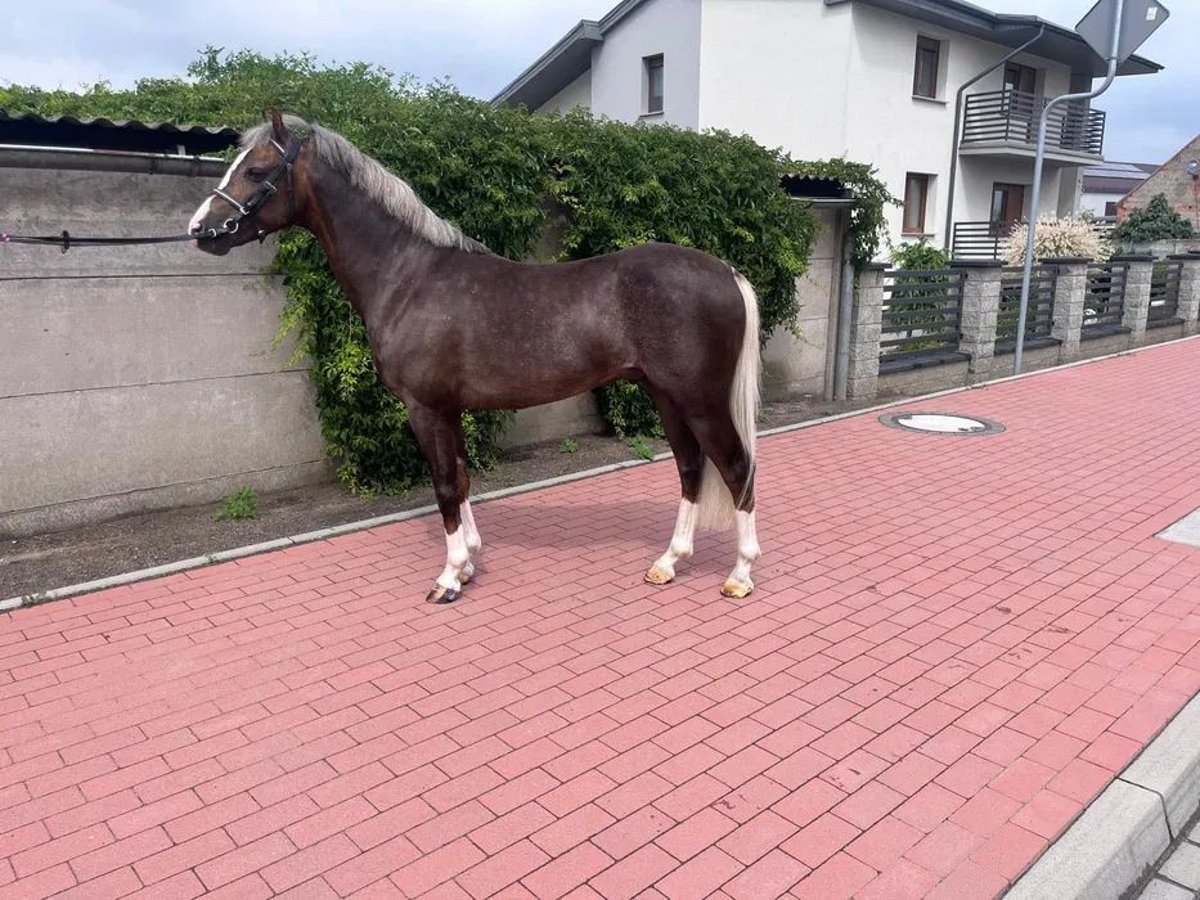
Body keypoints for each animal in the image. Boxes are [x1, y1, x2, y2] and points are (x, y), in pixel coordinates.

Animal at [192, 112, 763, 607]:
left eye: (256, 170)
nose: (201, 229)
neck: (408, 276)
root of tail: (728, 272)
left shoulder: (424, 408)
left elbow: (445, 485)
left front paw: (447, 579)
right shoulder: (447, 409)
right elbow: (462, 479)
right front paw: (467, 563)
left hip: (700, 400)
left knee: (736, 467)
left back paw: (739, 575)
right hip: (666, 396)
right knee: (691, 467)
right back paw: (668, 563)